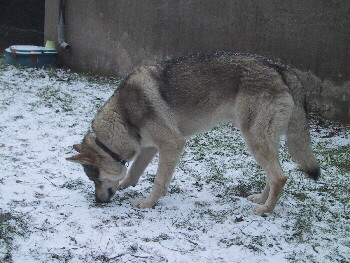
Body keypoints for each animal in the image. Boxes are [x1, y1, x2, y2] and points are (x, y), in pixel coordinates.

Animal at [66, 52, 320, 217]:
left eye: (95, 179)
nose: (97, 201)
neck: (124, 114)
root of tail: (281, 68)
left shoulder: (172, 144)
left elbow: (159, 182)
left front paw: (147, 204)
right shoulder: (149, 148)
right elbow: (133, 174)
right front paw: (126, 188)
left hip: (253, 140)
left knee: (280, 176)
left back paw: (265, 209)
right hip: (264, 141)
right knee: (276, 174)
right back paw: (261, 199)